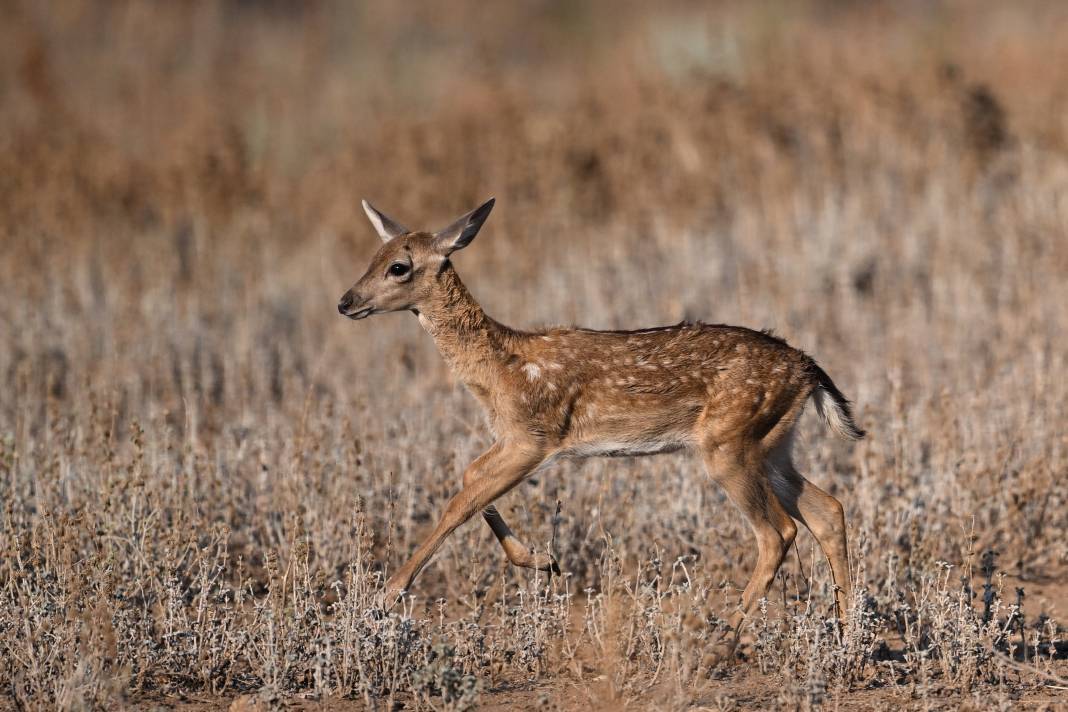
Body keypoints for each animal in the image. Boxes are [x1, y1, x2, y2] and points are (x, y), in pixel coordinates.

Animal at [337, 196, 862, 653]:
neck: (500, 370)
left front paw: (382, 599)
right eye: (372, 256)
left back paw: (719, 643)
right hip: (772, 444)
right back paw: (845, 633)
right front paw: (543, 560)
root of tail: (809, 370)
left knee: (777, 533)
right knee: (826, 510)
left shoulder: (535, 438)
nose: (345, 301)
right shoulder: (510, 438)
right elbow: (470, 481)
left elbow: (460, 503)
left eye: (398, 266)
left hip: (728, 445)